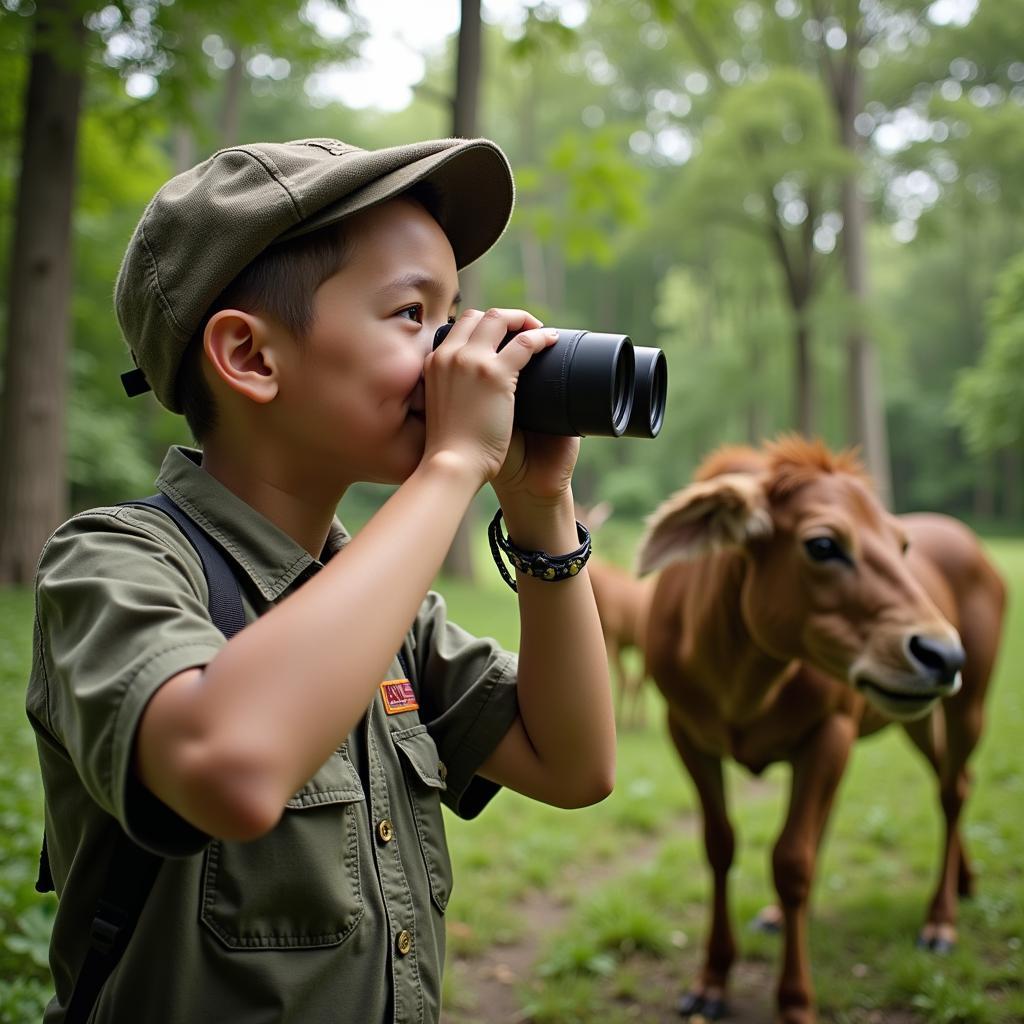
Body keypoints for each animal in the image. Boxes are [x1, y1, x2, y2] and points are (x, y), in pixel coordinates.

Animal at [634, 438, 1003, 1024]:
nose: (944, 654)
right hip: (914, 718)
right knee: (947, 778)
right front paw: (712, 978)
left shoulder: (831, 730)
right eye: (824, 544)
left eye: (901, 545)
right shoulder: (686, 733)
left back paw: (940, 919)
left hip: (969, 703)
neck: (738, 676)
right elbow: (720, 845)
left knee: (953, 789)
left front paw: (794, 999)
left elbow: (792, 861)